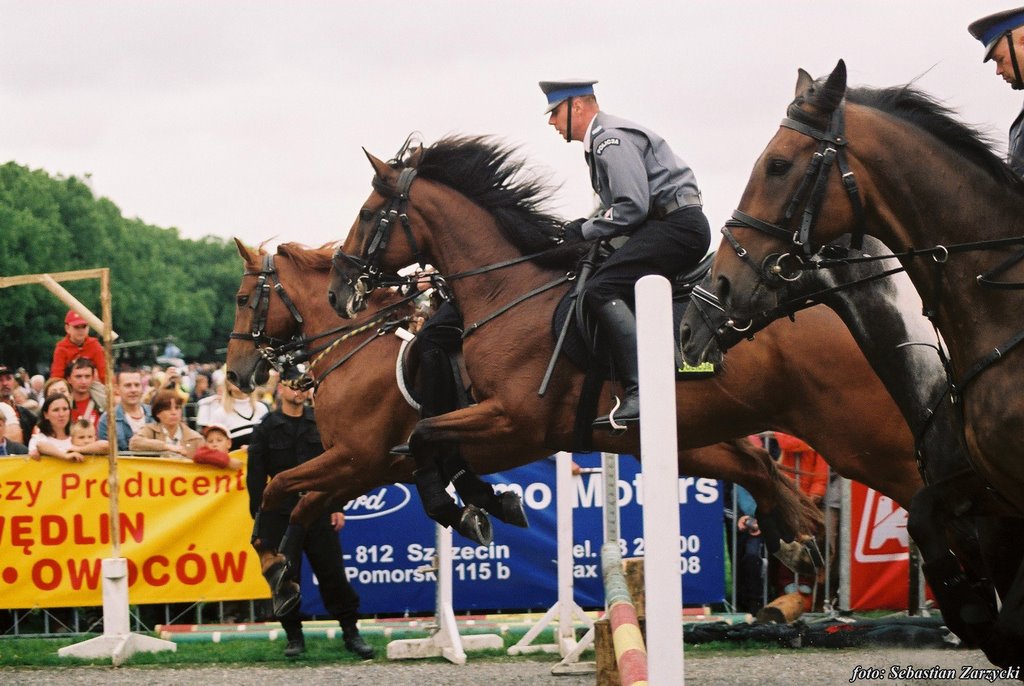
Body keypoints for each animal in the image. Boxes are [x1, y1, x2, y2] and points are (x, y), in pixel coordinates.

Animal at [325, 137, 929, 544]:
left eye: (367, 215)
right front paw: (486, 503)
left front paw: (465, 507)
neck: (507, 290)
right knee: (762, 468)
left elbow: (425, 435)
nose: (339, 289)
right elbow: (431, 442)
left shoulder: (515, 420)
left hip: (866, 439)